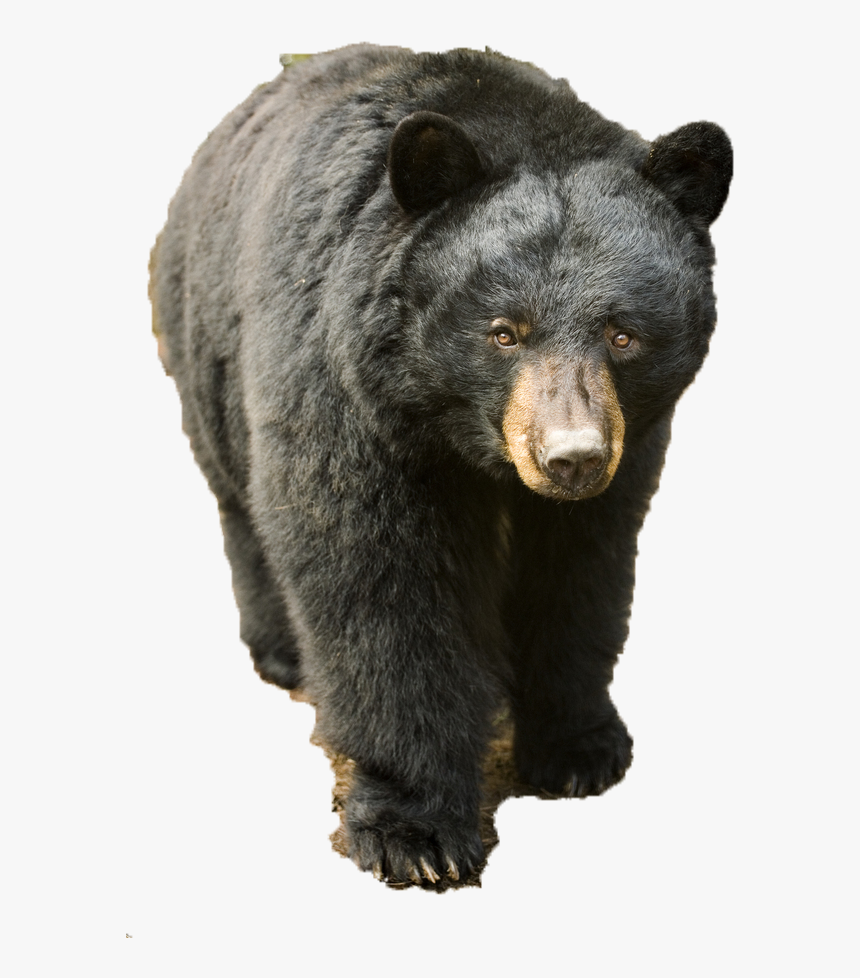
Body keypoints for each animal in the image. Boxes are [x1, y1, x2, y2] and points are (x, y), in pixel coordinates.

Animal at [149, 44, 732, 887]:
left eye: (623, 334)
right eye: (503, 331)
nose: (571, 458)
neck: (460, 436)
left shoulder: (627, 454)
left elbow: (580, 569)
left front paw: (580, 747)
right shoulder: (349, 394)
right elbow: (377, 582)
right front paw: (414, 829)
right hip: (202, 346)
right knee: (244, 504)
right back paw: (284, 653)